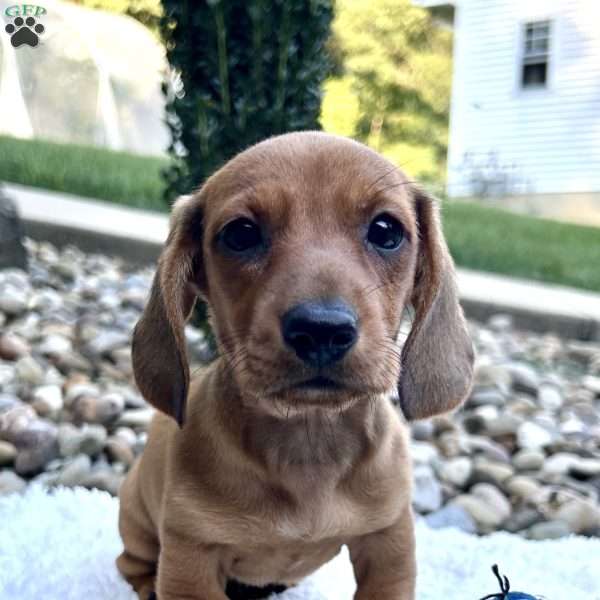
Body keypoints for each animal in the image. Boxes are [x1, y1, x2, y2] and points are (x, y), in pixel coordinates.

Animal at [117, 132, 474, 600]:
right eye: (241, 233)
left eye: (386, 230)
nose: (321, 330)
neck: (308, 442)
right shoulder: (190, 557)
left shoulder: (389, 541)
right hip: (136, 519)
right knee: (132, 564)